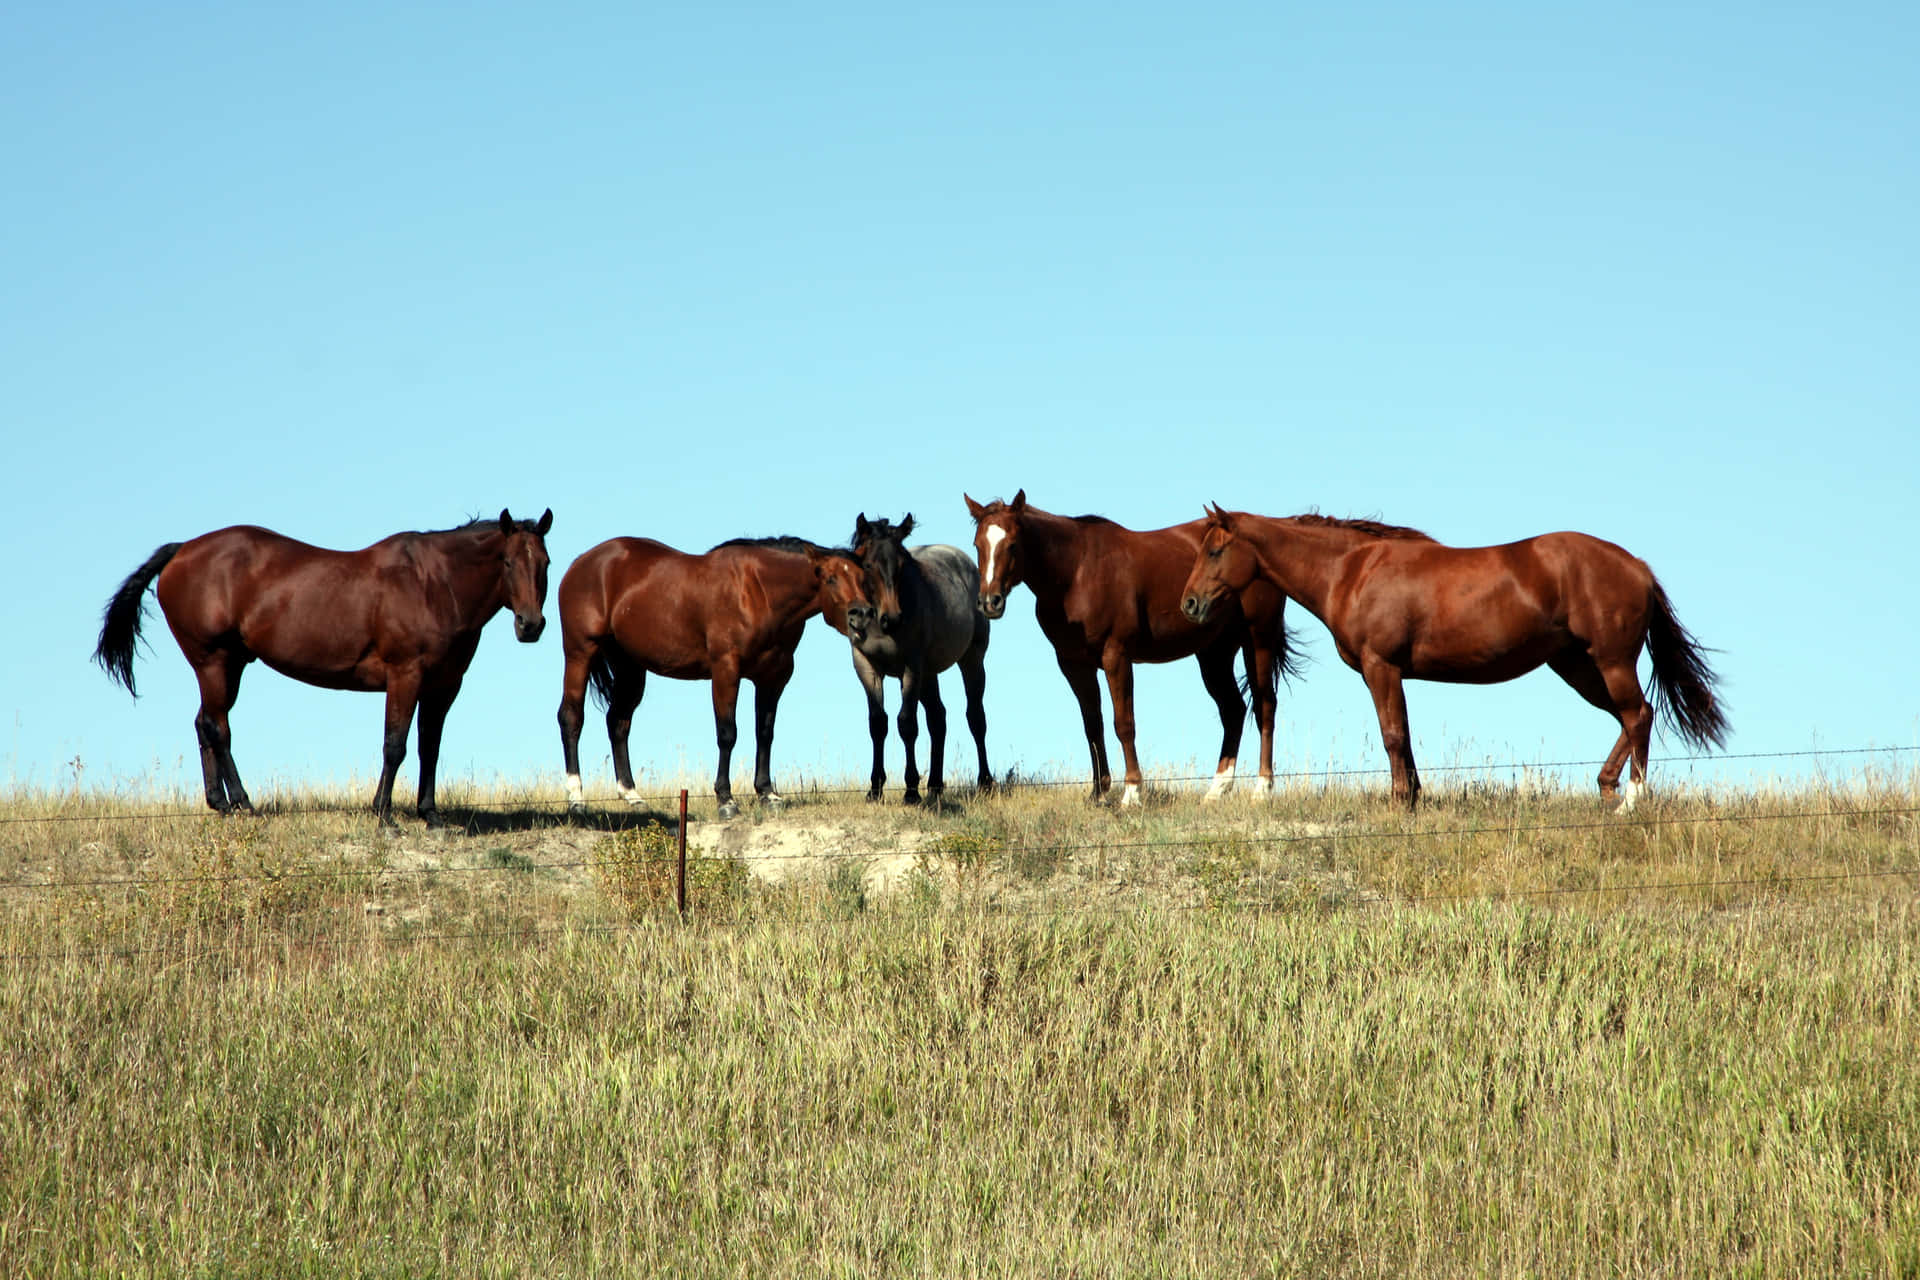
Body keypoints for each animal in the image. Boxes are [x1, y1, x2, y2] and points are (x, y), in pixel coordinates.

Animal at [93, 509, 554, 827]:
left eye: (545, 563)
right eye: (508, 562)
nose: (530, 625)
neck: (434, 584)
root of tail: (183, 549)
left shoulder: (443, 686)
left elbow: (430, 747)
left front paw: (430, 813)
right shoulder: (405, 676)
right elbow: (395, 744)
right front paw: (383, 813)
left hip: (229, 665)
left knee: (204, 723)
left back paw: (219, 803)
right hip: (213, 661)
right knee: (216, 727)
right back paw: (243, 802)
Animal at [556, 535, 875, 819]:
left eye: (863, 577)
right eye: (830, 578)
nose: (862, 614)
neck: (759, 592)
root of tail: (580, 564)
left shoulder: (773, 677)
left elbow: (765, 733)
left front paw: (767, 794)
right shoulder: (725, 670)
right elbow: (727, 733)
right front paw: (726, 800)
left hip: (629, 666)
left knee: (618, 723)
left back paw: (633, 796)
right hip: (580, 652)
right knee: (571, 717)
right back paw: (576, 798)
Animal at [845, 513, 993, 805]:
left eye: (902, 565)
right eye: (867, 564)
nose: (892, 618)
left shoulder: (911, 667)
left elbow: (907, 724)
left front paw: (911, 790)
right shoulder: (866, 666)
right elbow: (878, 723)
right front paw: (875, 789)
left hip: (971, 659)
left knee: (975, 716)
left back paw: (984, 782)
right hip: (930, 674)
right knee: (938, 719)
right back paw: (935, 786)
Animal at [963, 490, 1296, 806]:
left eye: (1012, 545)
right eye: (978, 545)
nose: (989, 602)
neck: (1076, 572)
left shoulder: (1117, 656)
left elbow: (1123, 723)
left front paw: (1132, 792)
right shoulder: (1074, 664)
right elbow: (1093, 725)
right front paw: (1098, 793)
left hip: (1258, 640)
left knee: (1265, 706)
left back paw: (1263, 788)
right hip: (1215, 653)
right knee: (1233, 710)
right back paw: (1217, 790)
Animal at [1179, 505, 1728, 809]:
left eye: (1214, 551)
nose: (1190, 604)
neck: (1353, 570)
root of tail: (1635, 566)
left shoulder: (1382, 668)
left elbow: (1393, 736)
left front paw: (1399, 803)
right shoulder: (1389, 674)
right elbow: (1404, 737)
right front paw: (1414, 798)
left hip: (1610, 662)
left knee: (1637, 716)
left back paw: (1631, 801)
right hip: (1577, 666)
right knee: (1631, 717)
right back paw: (1607, 787)